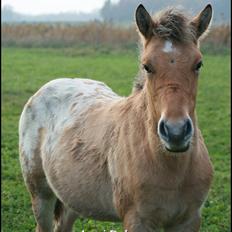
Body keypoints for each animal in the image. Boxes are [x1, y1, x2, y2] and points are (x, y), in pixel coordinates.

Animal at [19, 4, 214, 232]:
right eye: (147, 66)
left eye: (198, 64)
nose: (176, 132)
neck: (172, 169)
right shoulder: (137, 220)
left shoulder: (189, 220)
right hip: (41, 194)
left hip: (72, 198)